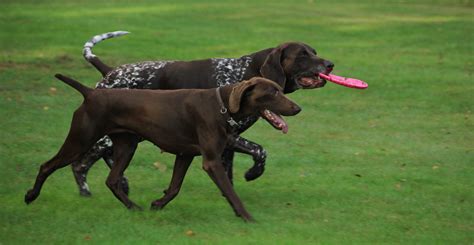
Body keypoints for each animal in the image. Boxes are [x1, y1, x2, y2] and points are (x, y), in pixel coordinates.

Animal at [25, 74, 300, 220]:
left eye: (280, 89)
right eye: (273, 92)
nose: (298, 108)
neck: (221, 105)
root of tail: (91, 93)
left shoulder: (186, 154)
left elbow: (175, 187)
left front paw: (157, 204)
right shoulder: (210, 160)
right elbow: (231, 192)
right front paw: (246, 216)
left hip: (126, 146)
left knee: (112, 180)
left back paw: (133, 208)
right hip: (80, 140)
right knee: (47, 165)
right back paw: (31, 196)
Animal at [74, 30, 334, 196]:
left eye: (314, 51)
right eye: (302, 55)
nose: (330, 64)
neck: (245, 72)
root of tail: (109, 71)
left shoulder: (227, 142)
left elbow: (229, 174)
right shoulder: (229, 137)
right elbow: (261, 151)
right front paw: (253, 173)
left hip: (128, 135)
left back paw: (122, 184)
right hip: (106, 136)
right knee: (80, 163)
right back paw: (86, 191)